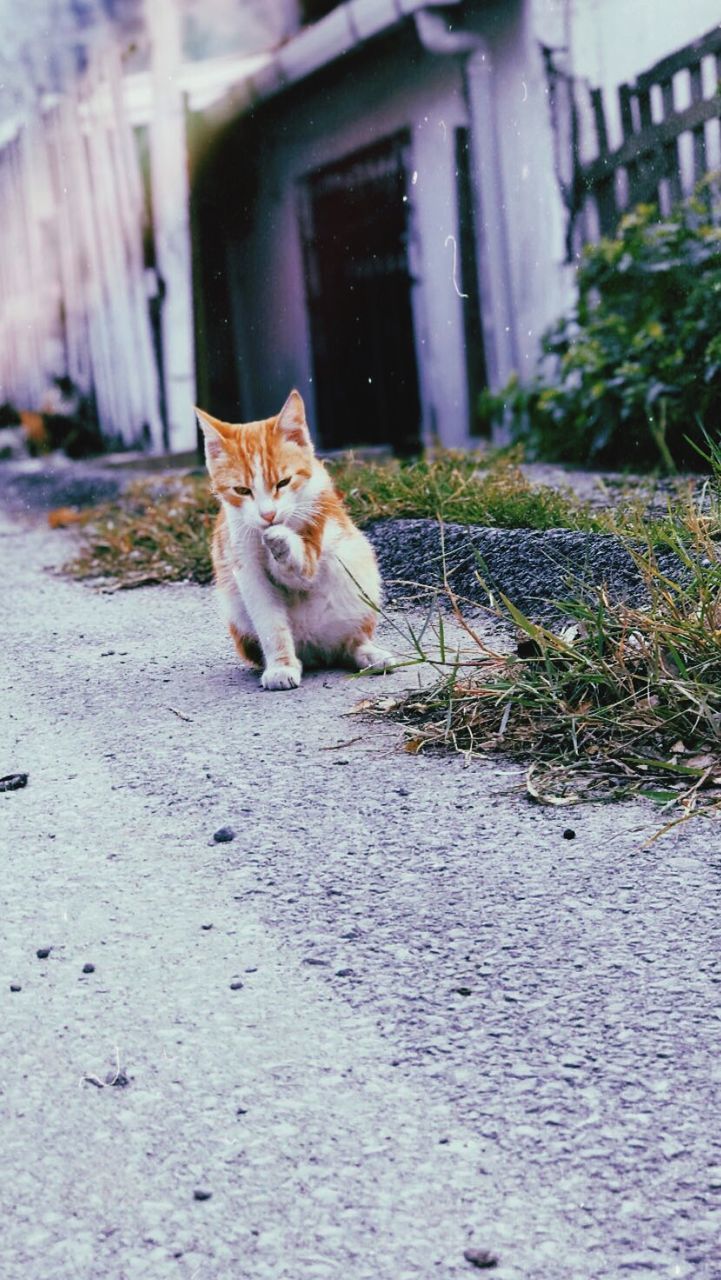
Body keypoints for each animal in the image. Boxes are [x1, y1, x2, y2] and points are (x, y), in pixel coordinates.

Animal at [194, 389, 391, 691]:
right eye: (242, 490)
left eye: (284, 482)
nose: (268, 514)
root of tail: (318, 651)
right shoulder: (245, 566)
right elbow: (271, 623)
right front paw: (281, 665)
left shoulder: (316, 529)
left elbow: (300, 567)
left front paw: (281, 539)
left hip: (359, 576)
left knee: (350, 644)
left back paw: (370, 653)